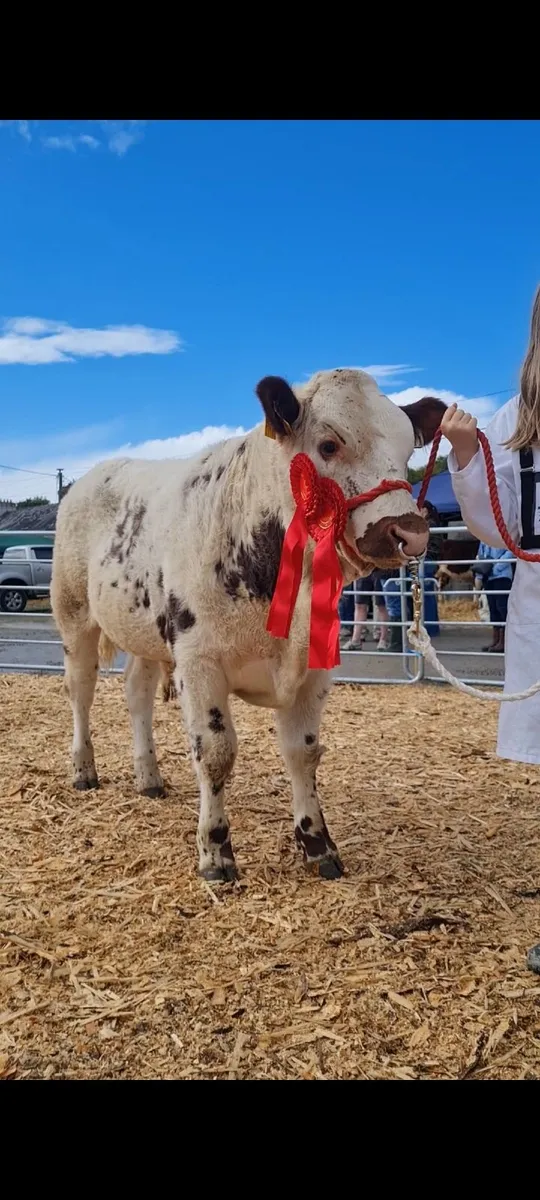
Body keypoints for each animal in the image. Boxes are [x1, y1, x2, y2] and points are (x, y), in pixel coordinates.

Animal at [51, 370, 446, 883]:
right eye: (329, 445)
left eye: (407, 452)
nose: (409, 533)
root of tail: (94, 475)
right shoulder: (198, 661)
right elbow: (216, 753)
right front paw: (216, 852)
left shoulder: (315, 668)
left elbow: (303, 753)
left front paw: (318, 844)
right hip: (74, 614)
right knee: (80, 690)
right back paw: (83, 770)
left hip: (145, 631)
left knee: (137, 693)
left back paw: (149, 777)